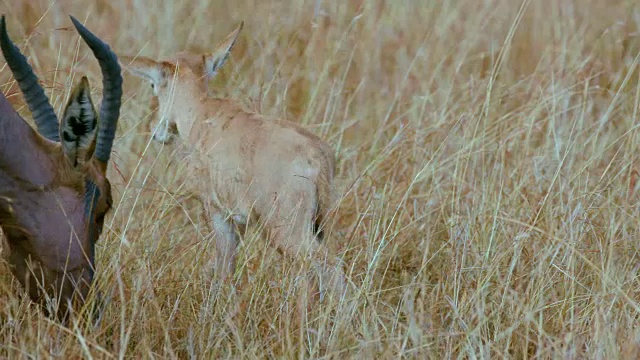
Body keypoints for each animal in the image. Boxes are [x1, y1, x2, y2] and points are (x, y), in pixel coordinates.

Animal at [119, 21, 344, 298]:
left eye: (153, 85)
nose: (156, 130)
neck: (201, 112)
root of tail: (318, 154)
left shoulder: (218, 213)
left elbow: (223, 267)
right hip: (317, 226)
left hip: (289, 231)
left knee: (329, 267)